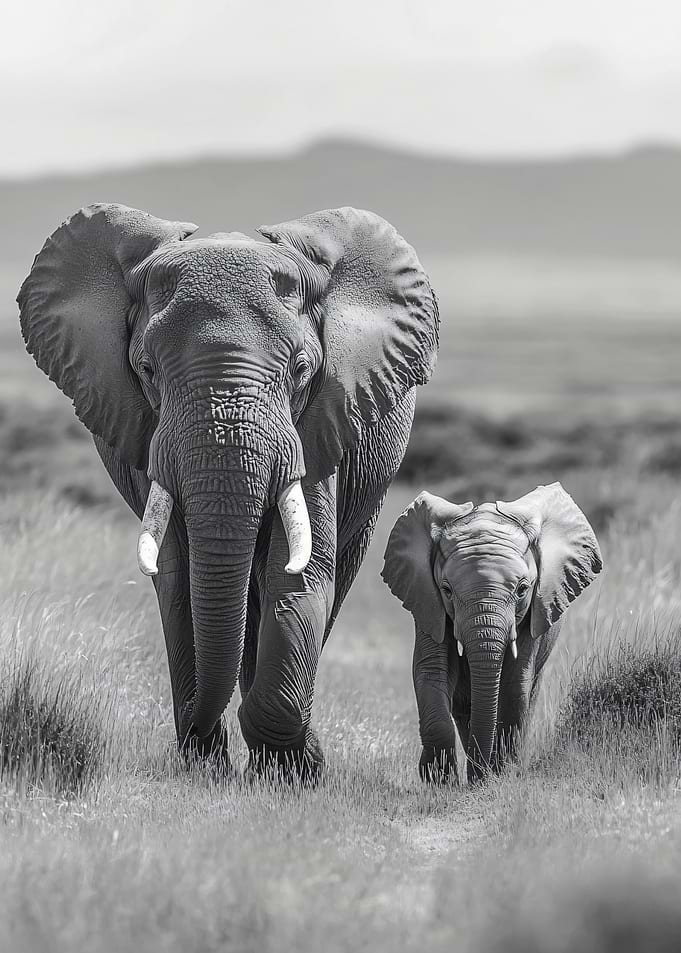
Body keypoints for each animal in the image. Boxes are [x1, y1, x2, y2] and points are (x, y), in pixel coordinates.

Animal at [18, 203, 439, 780]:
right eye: (146, 370)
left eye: (302, 370)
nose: (199, 730)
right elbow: (178, 581)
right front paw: (206, 765)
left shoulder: (320, 421)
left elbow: (300, 576)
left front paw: (290, 770)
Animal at [381, 483, 602, 783]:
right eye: (447, 590)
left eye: (522, 589)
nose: (481, 775)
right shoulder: (427, 602)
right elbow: (431, 672)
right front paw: (440, 781)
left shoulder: (536, 609)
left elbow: (514, 684)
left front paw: (498, 775)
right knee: (464, 705)